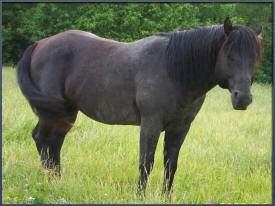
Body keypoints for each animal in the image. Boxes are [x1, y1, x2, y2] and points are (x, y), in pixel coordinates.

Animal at [17, 17, 264, 195]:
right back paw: (49, 180)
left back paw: (57, 180)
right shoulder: (151, 124)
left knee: (54, 143)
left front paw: (166, 197)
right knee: (41, 138)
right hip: (52, 112)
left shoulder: (180, 128)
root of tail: (39, 44)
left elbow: (170, 165)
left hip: (66, 112)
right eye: (229, 56)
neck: (174, 70)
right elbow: (146, 163)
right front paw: (140, 195)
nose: (243, 98)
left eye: (255, 57)